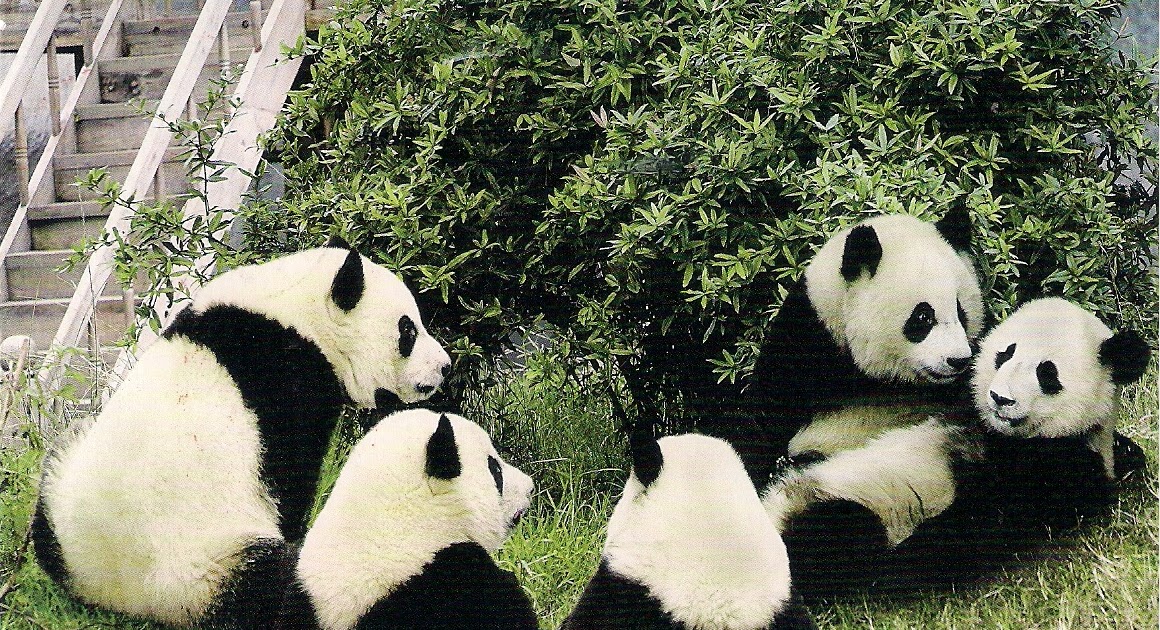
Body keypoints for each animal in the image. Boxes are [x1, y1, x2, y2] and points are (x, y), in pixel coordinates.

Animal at [30, 240, 451, 628]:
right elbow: (291, 478)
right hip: (211, 561)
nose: (444, 367)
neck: (294, 313)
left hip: (61, 493)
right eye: (408, 330)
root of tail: (123, 594)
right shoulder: (290, 382)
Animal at [761, 297, 1150, 601]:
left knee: (839, 534)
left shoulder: (1064, 465)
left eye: (1047, 373)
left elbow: (984, 518)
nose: (999, 398)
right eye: (1004, 355)